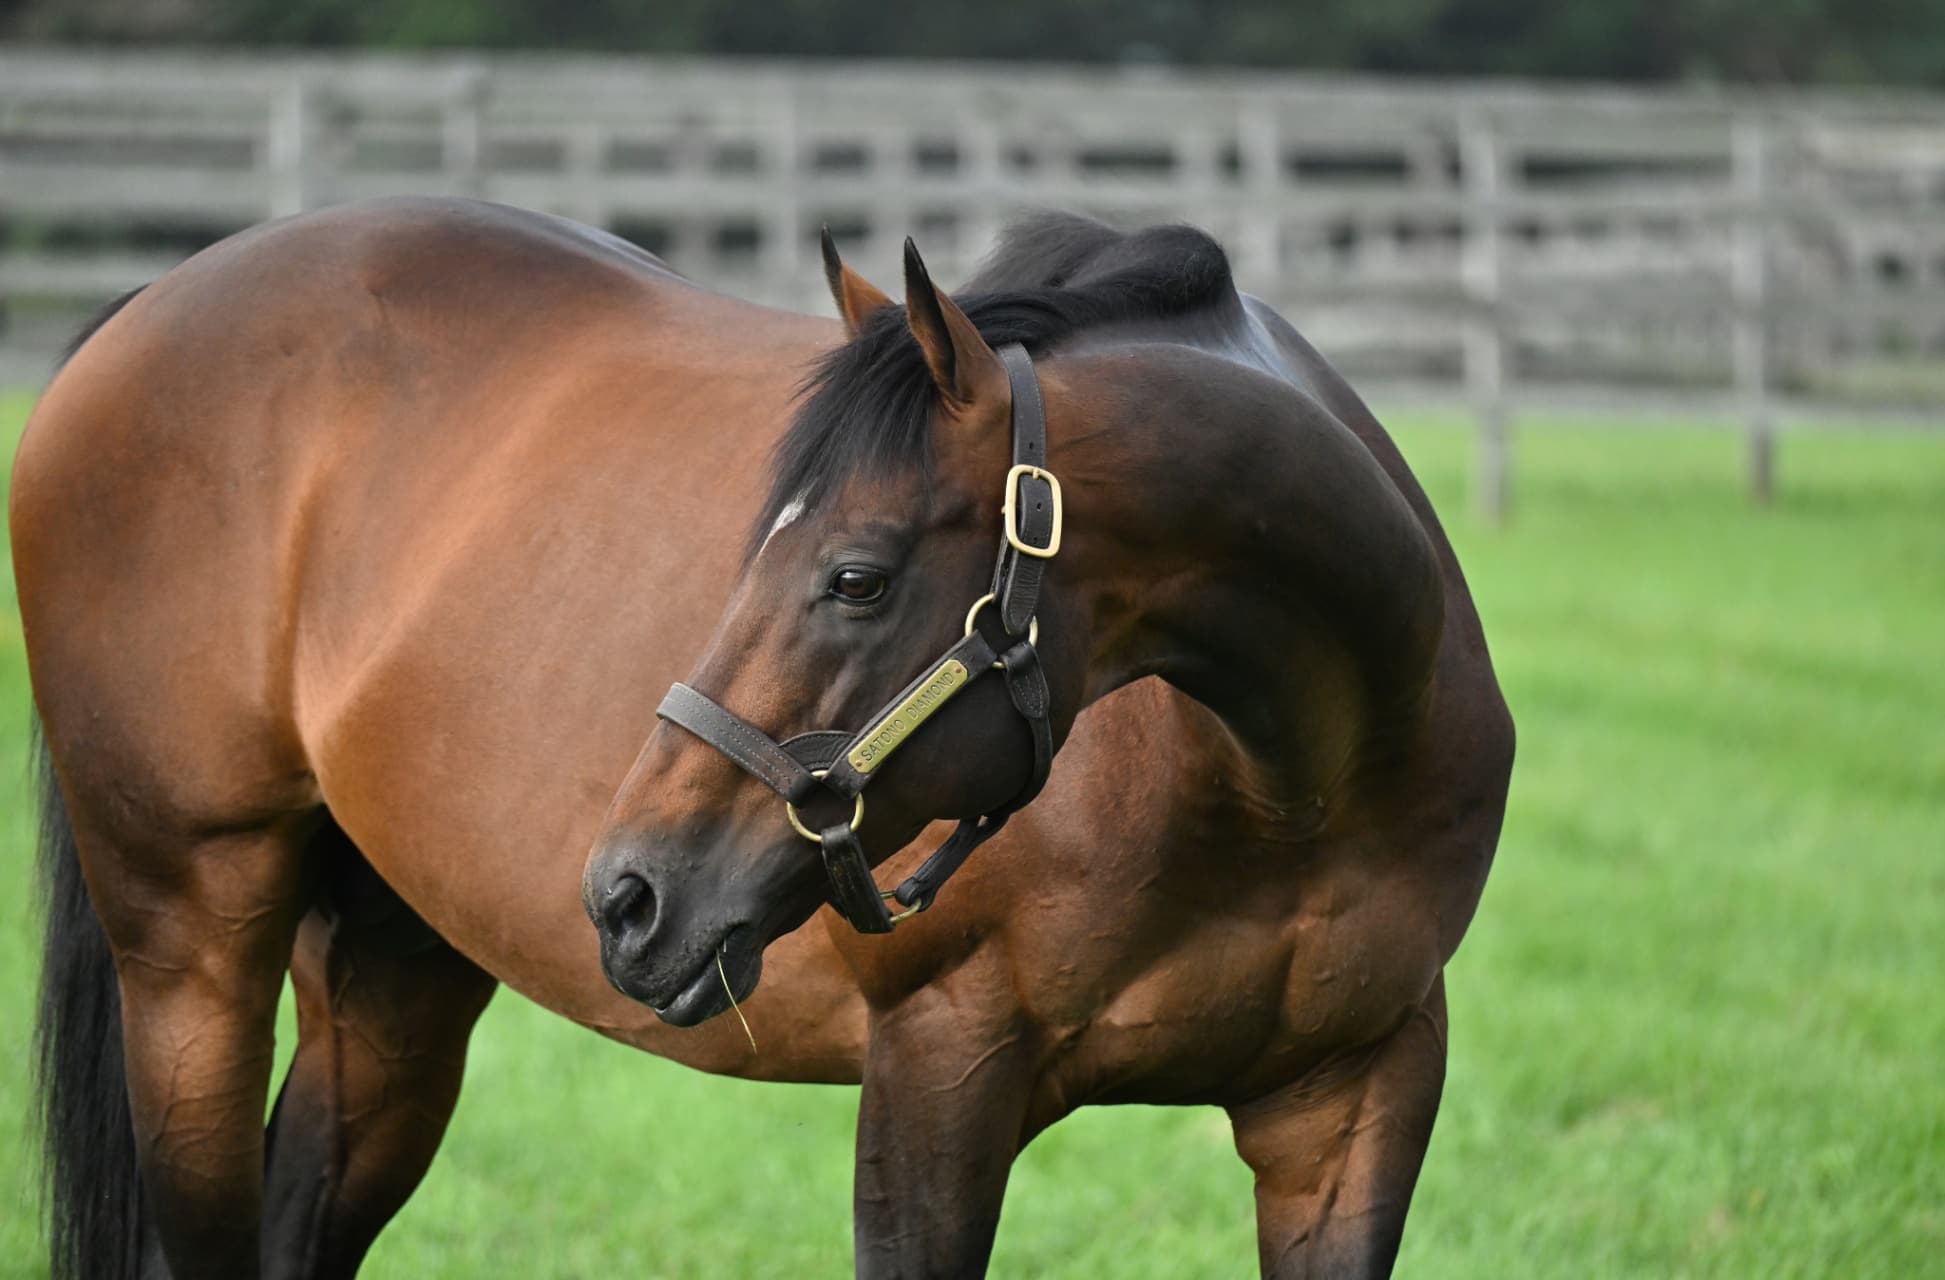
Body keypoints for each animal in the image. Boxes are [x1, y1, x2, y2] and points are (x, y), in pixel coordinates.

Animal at [15, 196, 1513, 1279]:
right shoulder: (938, 1076)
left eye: (853, 575)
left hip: (394, 971)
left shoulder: (1354, 1108)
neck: (1286, 787)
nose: (629, 894)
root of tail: (146, 306)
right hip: (191, 952)